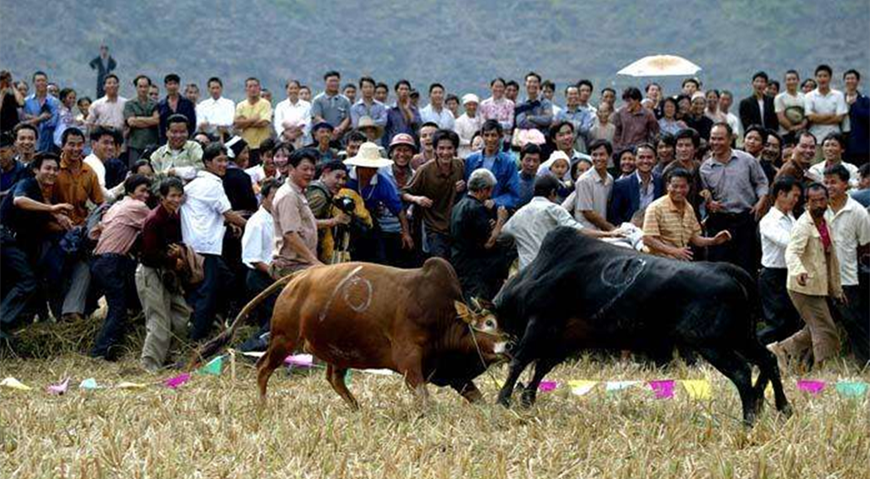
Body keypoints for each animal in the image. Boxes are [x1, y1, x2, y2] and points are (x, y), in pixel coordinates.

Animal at [196, 258, 510, 408]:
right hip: (283, 339)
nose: (510, 344)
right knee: (263, 368)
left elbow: (479, 399)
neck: (443, 317)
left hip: (336, 350)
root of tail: (298, 278)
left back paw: (357, 408)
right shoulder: (409, 360)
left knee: (334, 378)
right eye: (489, 323)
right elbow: (423, 397)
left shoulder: (455, 375)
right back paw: (263, 405)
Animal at [494, 227, 792, 426]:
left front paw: (503, 399)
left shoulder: (542, 324)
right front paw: (527, 399)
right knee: (768, 359)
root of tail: (727, 270)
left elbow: (520, 361)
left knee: (743, 370)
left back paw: (749, 419)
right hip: (742, 336)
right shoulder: (566, 339)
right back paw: (780, 407)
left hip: (714, 344)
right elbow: (540, 367)